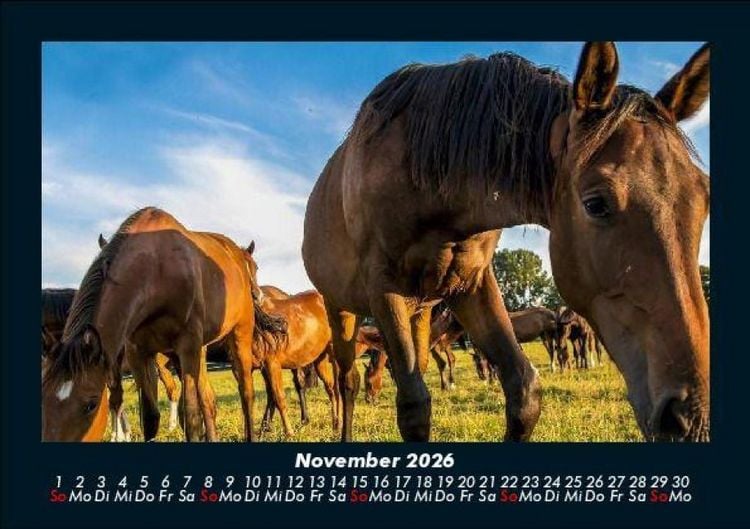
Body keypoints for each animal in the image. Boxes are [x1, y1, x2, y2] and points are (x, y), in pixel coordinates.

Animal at [42, 207, 286, 441]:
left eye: (91, 405)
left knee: (246, 393)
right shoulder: (138, 353)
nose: (258, 295)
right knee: (208, 399)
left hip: (239, 336)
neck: (157, 271)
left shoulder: (187, 346)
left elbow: (191, 417)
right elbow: (151, 418)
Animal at [302, 42, 710, 442]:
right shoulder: (384, 290)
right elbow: (414, 409)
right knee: (348, 380)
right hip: (342, 310)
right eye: (596, 203)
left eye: (704, 196)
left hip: (419, 311)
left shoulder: (471, 284)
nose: (689, 417)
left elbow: (524, 393)